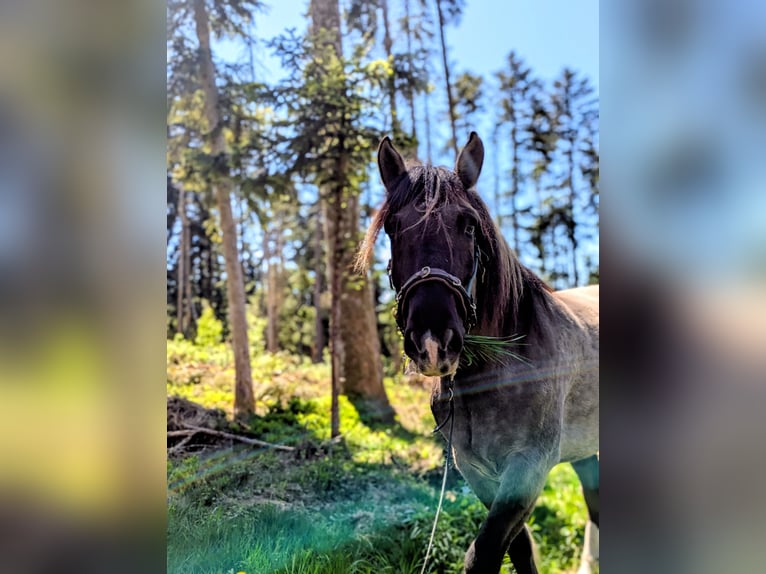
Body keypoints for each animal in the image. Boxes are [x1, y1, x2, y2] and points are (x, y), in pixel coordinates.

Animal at [356, 133, 599, 574]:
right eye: (393, 227)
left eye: (468, 225)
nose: (433, 339)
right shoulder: (477, 469)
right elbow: (518, 547)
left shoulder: (528, 466)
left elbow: (484, 551)